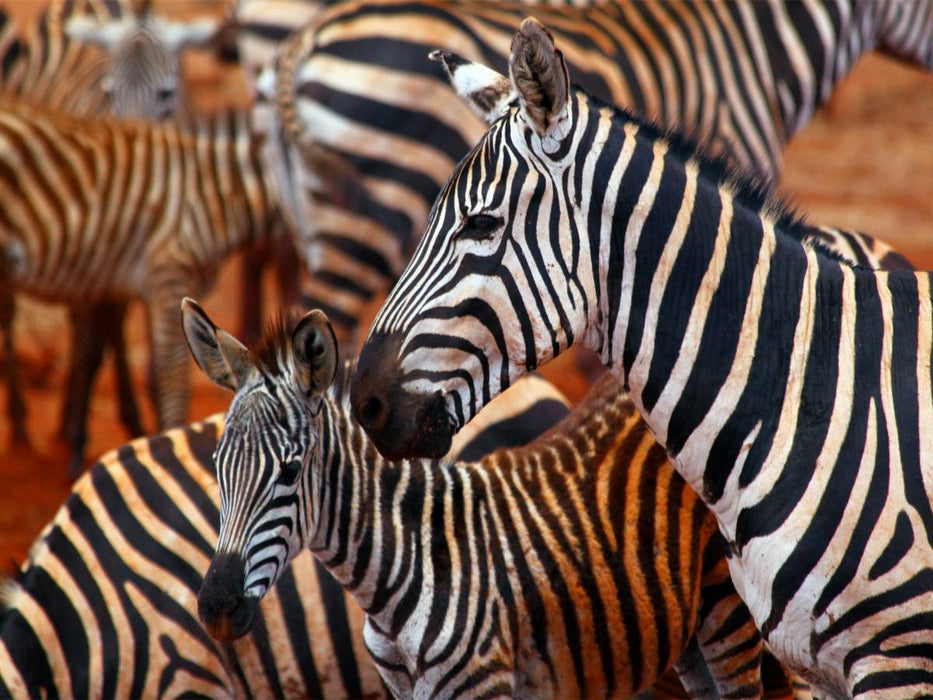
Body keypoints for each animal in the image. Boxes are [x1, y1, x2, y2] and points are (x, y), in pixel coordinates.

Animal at [181, 299, 780, 699]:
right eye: (218, 468)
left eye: (289, 471)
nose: (214, 608)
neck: (401, 570)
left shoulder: (484, 685)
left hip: (728, 614)